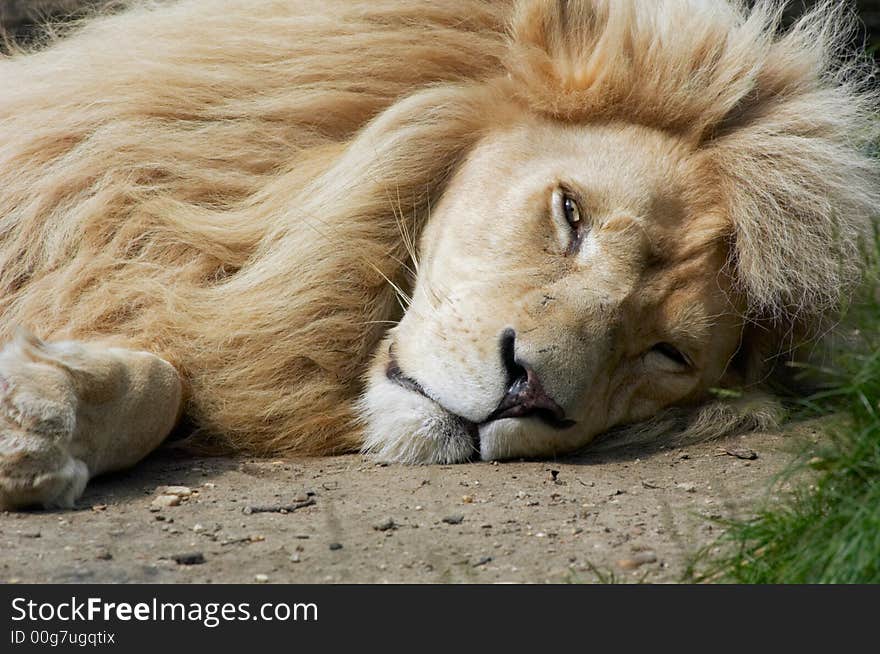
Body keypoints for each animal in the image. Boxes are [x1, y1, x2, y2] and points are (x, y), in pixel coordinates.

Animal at [0, 0, 876, 512]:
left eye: (668, 353)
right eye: (571, 215)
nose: (528, 394)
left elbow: (167, 380)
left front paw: (37, 427)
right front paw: (35, 419)